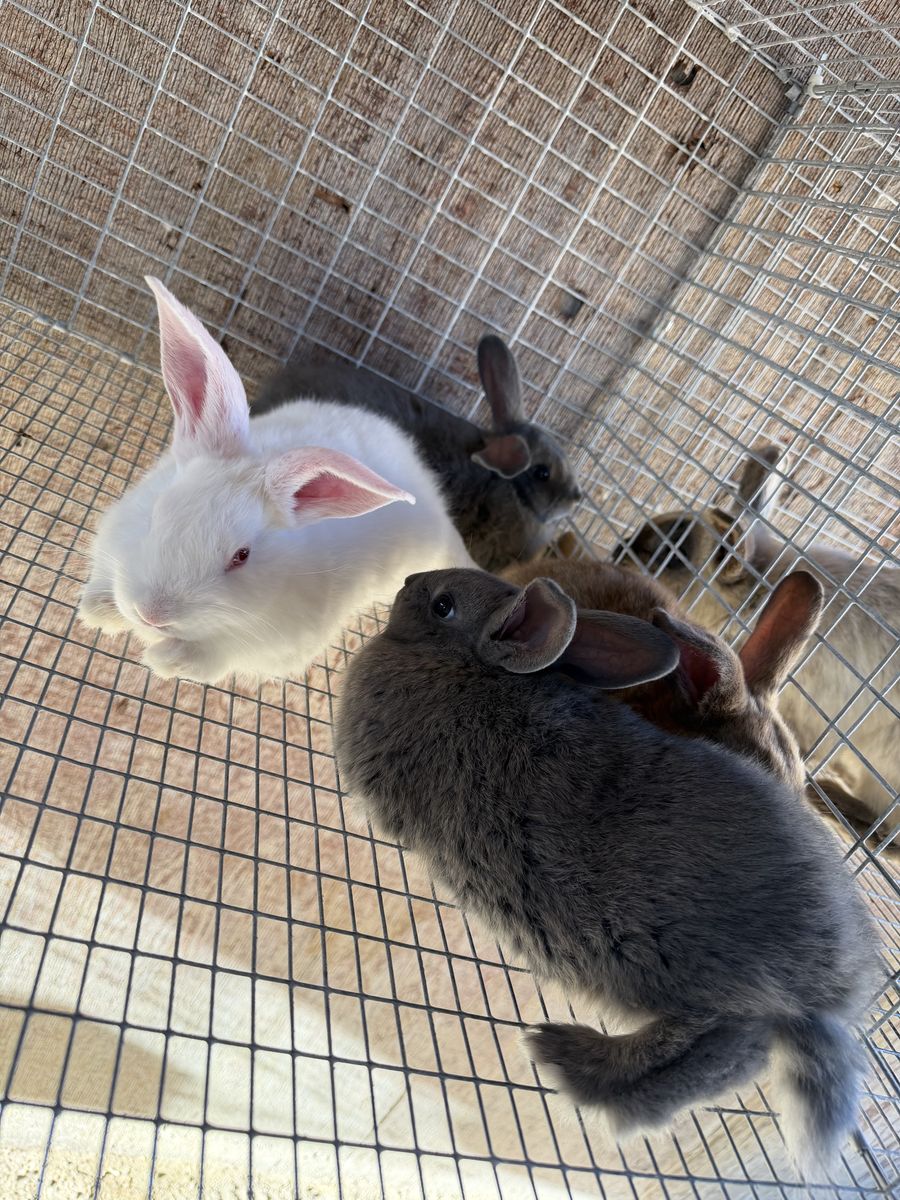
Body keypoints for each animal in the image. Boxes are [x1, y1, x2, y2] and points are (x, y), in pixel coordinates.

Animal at [77, 277, 474, 685]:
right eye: (156, 512)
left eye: (242, 556)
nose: (152, 614)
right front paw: (98, 610)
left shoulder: (267, 645)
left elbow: (214, 657)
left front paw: (165, 659)